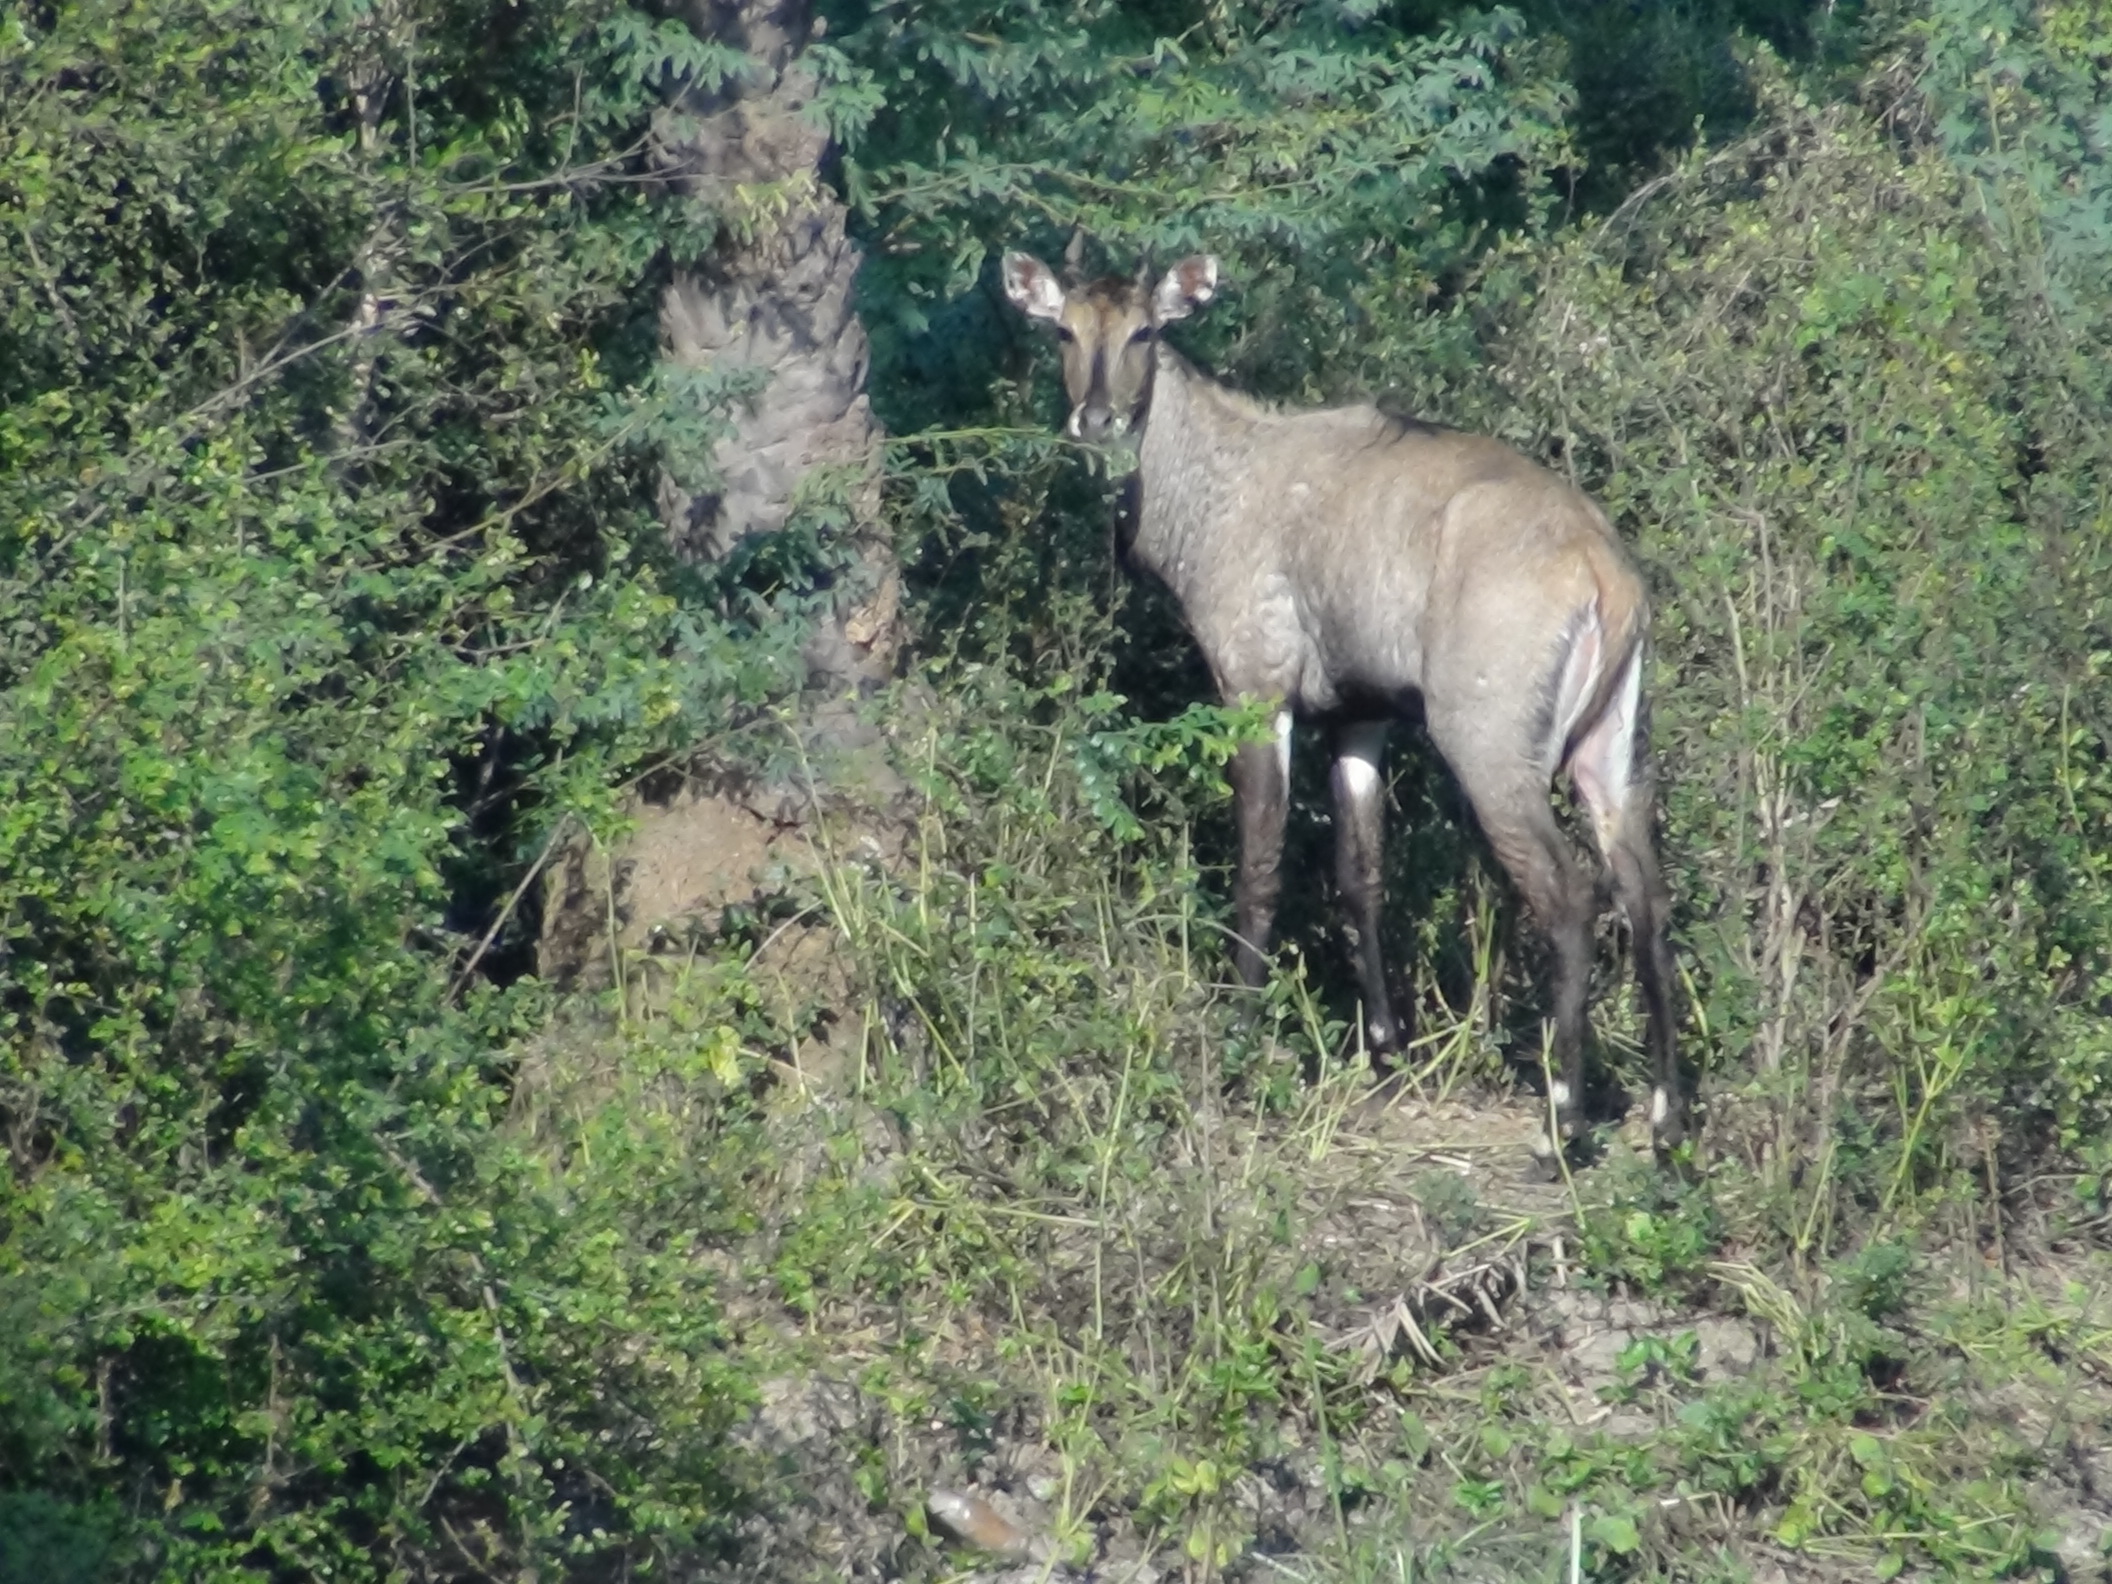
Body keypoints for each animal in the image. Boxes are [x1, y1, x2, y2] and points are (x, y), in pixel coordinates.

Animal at [1002, 245, 1683, 1159]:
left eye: (1145, 330)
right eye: (1065, 331)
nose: (1097, 419)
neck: (1217, 479)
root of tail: (1604, 576)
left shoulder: (1256, 688)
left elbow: (1260, 863)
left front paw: (1242, 1035)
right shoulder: (1360, 717)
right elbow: (1361, 876)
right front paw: (1387, 1054)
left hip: (1490, 746)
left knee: (1571, 896)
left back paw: (1561, 1119)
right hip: (1612, 744)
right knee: (1645, 895)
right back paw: (1667, 1118)